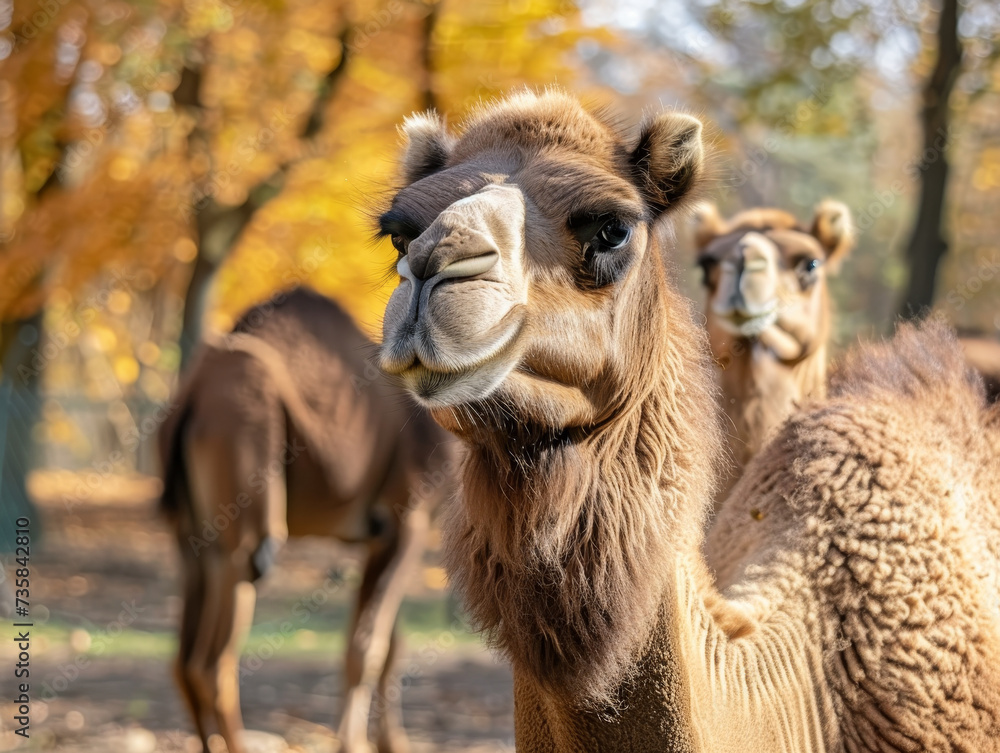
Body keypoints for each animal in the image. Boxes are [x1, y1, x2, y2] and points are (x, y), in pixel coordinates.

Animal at [159, 287, 456, 753]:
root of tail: (189, 400)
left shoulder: (379, 537)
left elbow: (390, 643)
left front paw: (392, 742)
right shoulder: (409, 517)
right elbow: (368, 648)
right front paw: (353, 745)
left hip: (189, 535)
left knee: (184, 661)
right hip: (248, 516)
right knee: (213, 660)